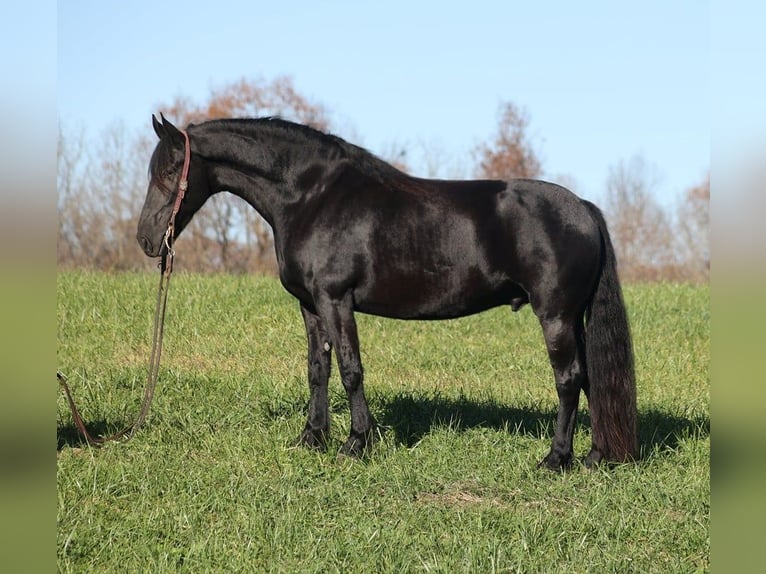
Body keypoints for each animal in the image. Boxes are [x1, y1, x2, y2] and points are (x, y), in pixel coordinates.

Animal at [137, 114, 637, 470]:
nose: (146, 240)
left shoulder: (336, 300)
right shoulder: (310, 306)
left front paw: (357, 444)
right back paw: (594, 456)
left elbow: (350, 370)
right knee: (591, 378)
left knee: (569, 379)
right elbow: (317, 370)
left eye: (170, 170)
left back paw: (555, 459)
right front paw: (311, 439)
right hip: (573, 319)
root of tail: (584, 209)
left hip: (555, 315)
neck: (310, 196)